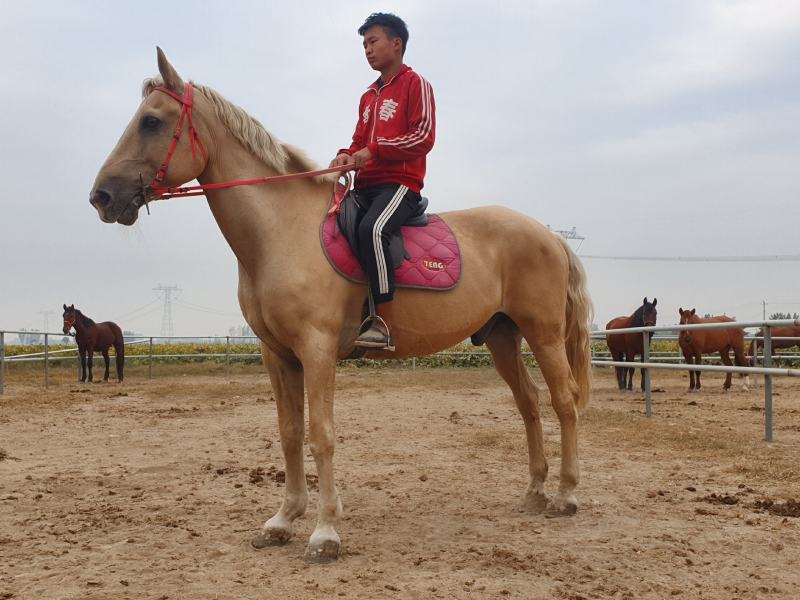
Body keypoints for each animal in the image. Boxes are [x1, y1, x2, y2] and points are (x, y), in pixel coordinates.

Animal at [88, 48, 593, 563]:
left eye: (151, 121)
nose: (102, 197)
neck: (281, 231)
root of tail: (548, 234)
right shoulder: (278, 355)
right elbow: (290, 433)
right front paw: (282, 520)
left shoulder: (317, 350)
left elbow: (321, 435)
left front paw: (325, 532)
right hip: (502, 336)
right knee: (529, 403)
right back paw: (534, 492)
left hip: (543, 333)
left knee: (564, 401)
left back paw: (566, 496)